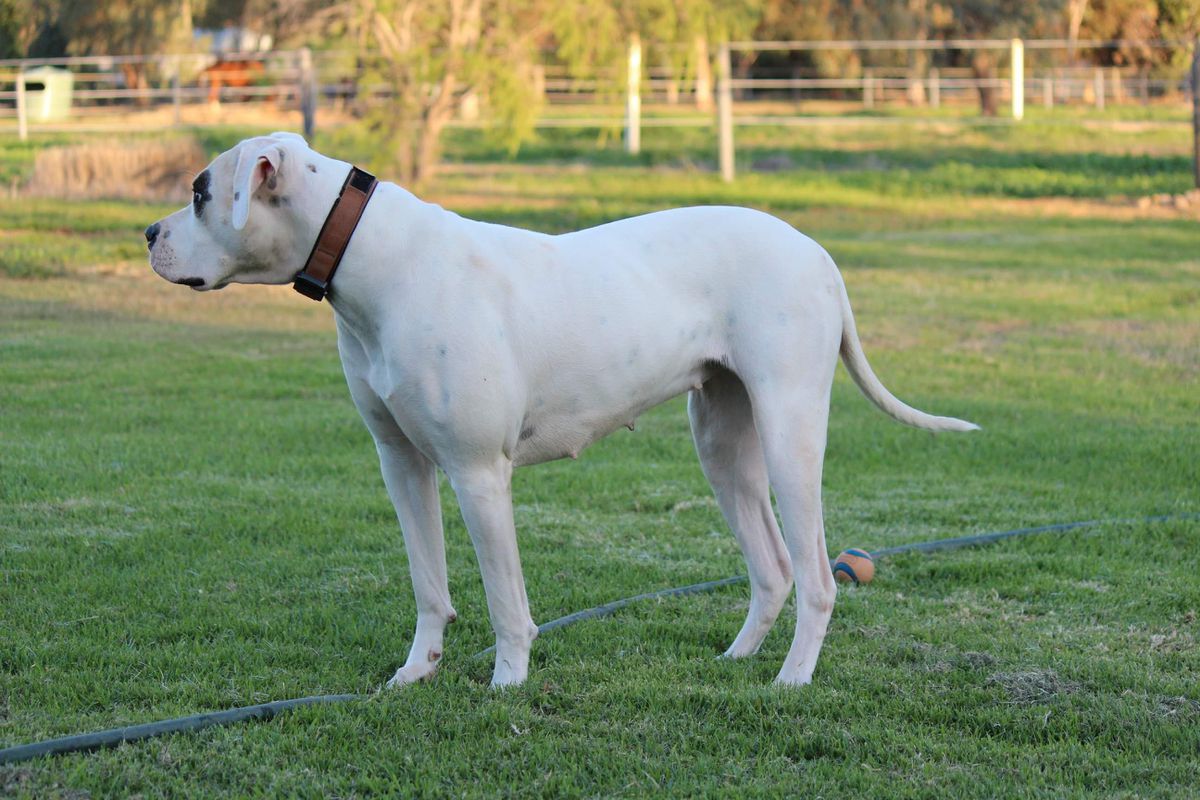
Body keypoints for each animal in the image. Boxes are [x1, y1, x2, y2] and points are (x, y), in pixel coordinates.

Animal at [147, 131, 974, 690]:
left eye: (199, 192)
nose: (147, 233)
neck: (371, 256)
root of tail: (816, 251)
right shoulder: (403, 466)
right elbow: (428, 585)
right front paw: (417, 673)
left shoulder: (479, 475)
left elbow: (504, 598)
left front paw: (507, 681)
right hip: (722, 445)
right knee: (771, 568)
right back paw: (738, 658)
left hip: (790, 437)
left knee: (817, 577)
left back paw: (792, 679)